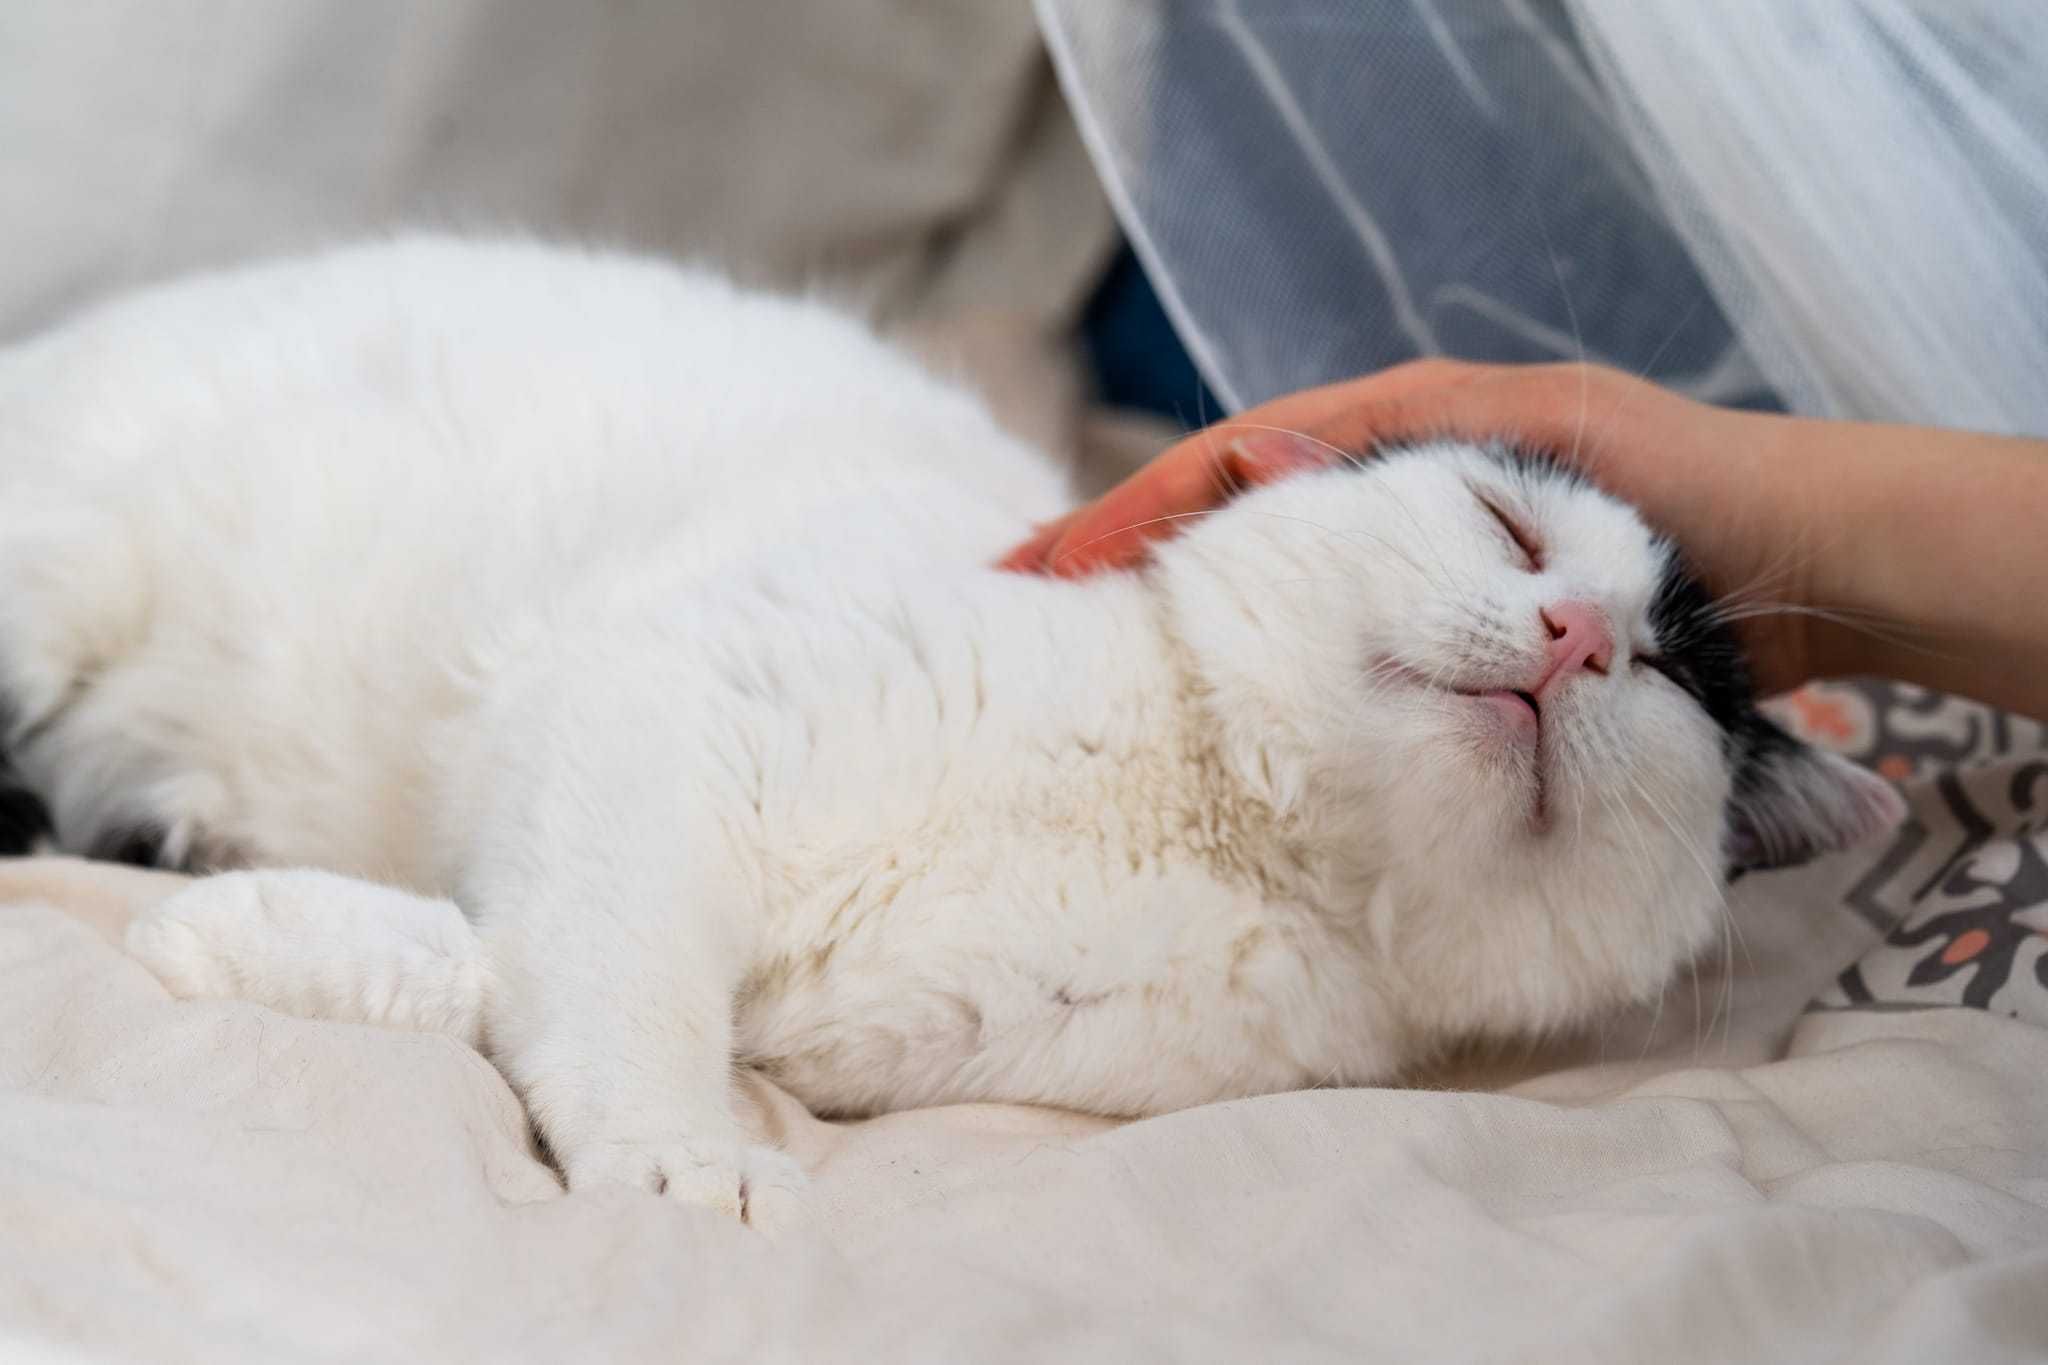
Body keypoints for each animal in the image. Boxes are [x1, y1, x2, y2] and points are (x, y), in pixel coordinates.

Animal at [0, 240, 1900, 1219]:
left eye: (1661, 677)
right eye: (1512, 531)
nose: (1576, 634)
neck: (1196, 807)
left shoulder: (852, 1031)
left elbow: (507, 969)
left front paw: (234, 930)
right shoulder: (648, 727)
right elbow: (615, 987)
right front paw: (676, 1167)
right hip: (61, 576)